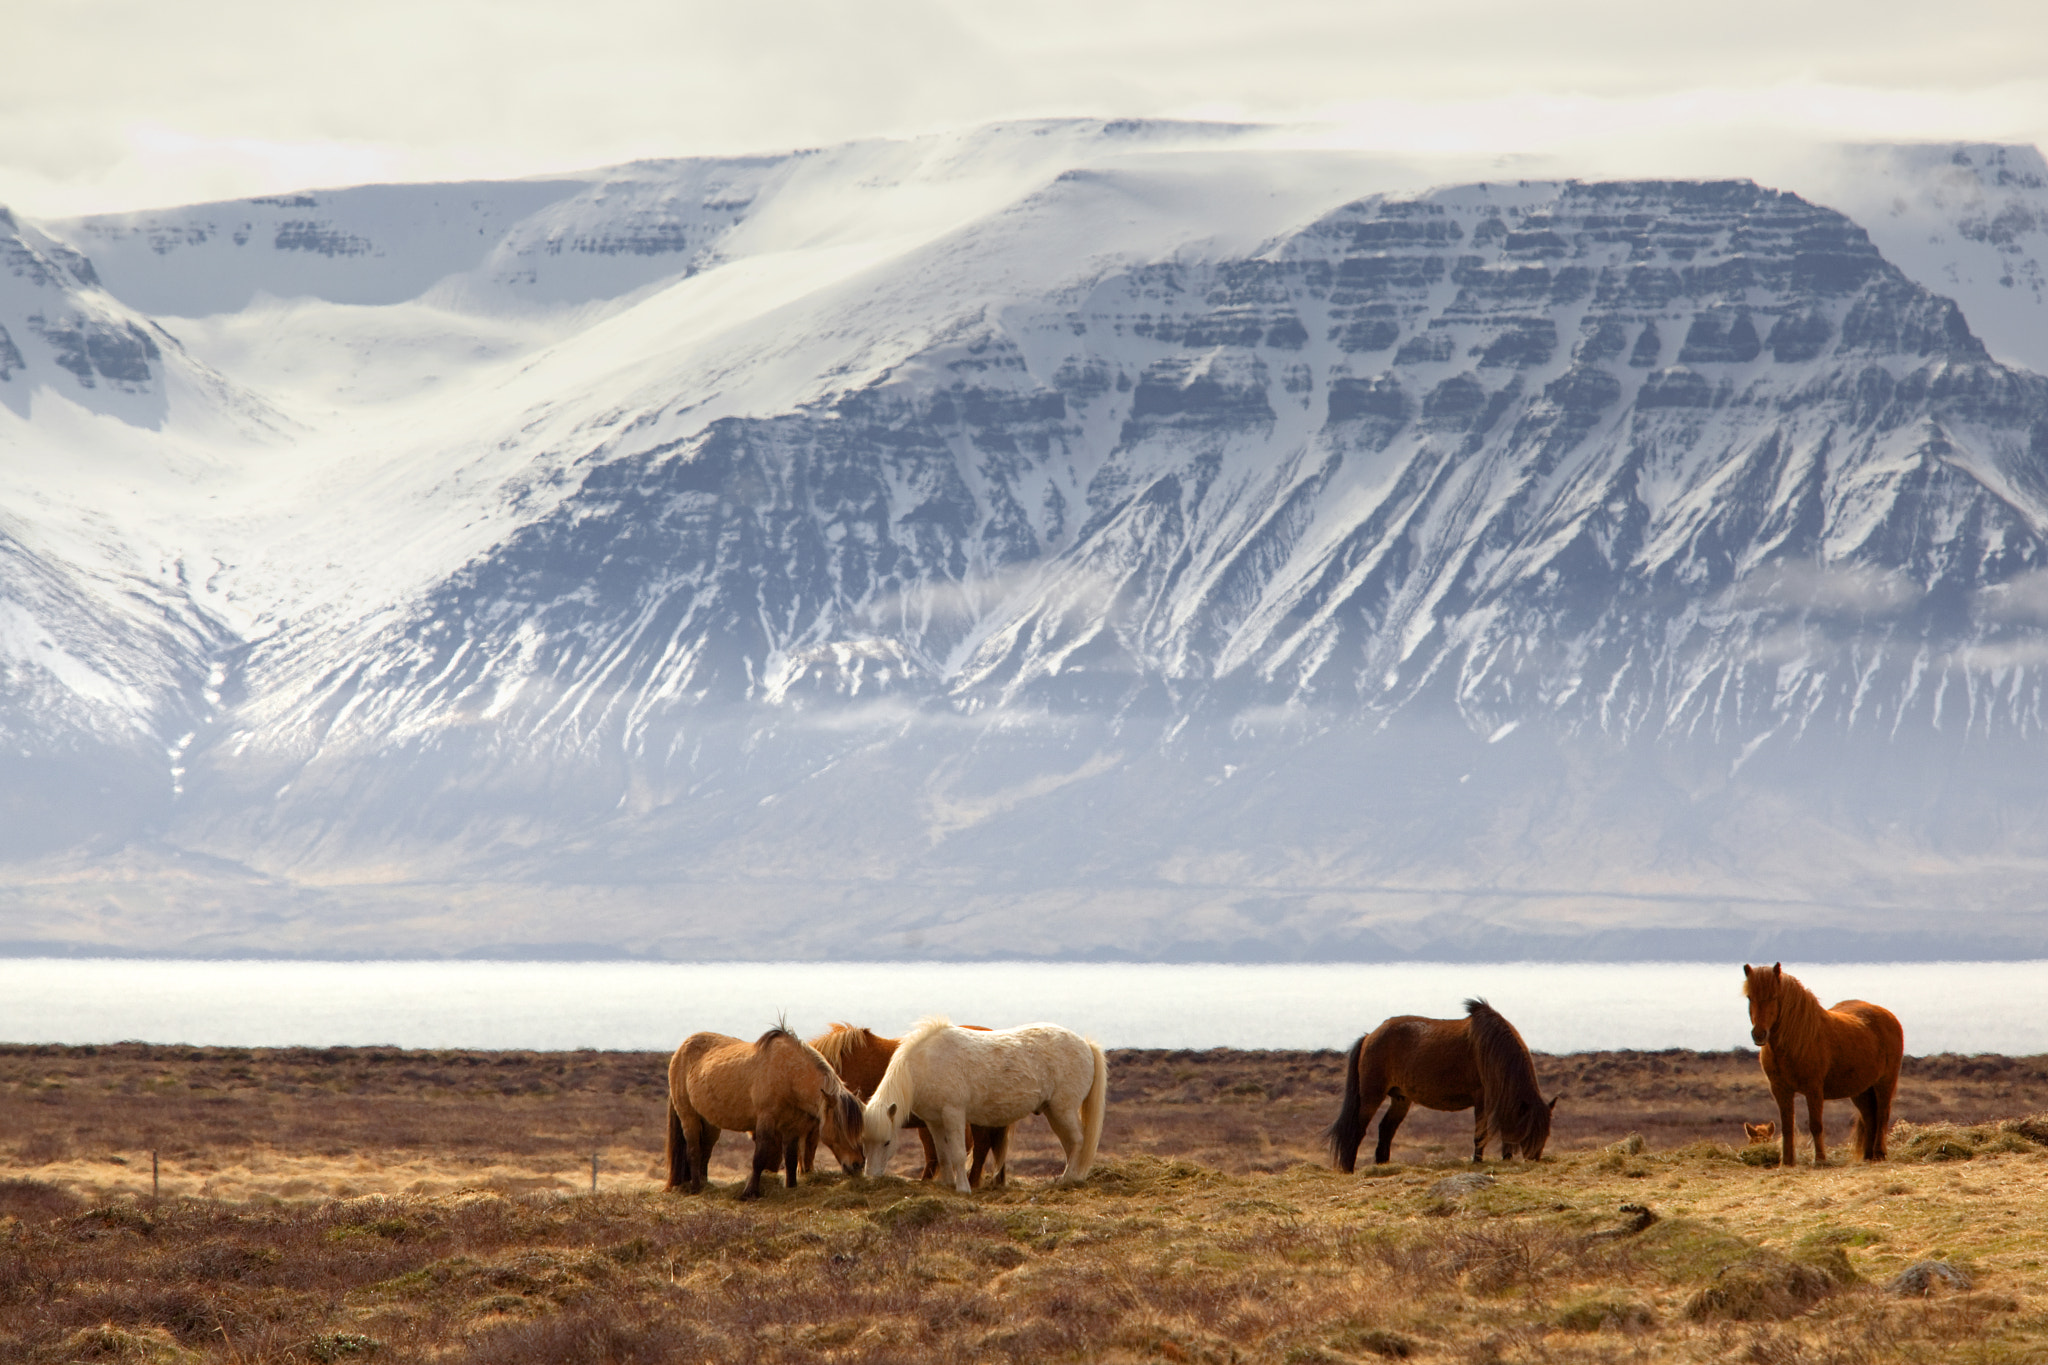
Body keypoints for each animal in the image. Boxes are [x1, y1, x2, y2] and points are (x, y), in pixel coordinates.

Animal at [667, 1019, 868, 1203]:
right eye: (841, 1127)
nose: (858, 1164)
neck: (789, 1074)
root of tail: (680, 1051)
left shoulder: (791, 1128)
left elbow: (791, 1159)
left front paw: (791, 1187)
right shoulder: (766, 1120)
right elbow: (759, 1157)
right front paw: (749, 1193)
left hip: (710, 1123)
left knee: (706, 1151)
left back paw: (705, 1184)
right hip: (688, 1116)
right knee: (693, 1149)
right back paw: (696, 1188)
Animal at [872, 1019, 1114, 1186]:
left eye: (887, 1142)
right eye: (866, 1139)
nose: (871, 1177)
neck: (926, 1061)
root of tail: (1086, 1045)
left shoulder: (954, 1114)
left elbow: (958, 1153)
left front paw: (963, 1189)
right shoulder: (934, 1121)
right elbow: (943, 1154)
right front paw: (948, 1184)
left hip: (1064, 1110)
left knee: (1078, 1141)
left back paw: (1067, 1179)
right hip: (1054, 1113)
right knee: (1070, 1143)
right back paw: (1070, 1177)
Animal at [1318, 998, 1556, 1170]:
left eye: (1546, 1133)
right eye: (1531, 1130)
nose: (1534, 1159)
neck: (1493, 1049)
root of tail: (1370, 1036)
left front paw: (1505, 1158)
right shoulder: (1482, 1099)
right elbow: (1480, 1133)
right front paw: (1478, 1161)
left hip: (1401, 1098)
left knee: (1386, 1128)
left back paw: (1382, 1164)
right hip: (1371, 1095)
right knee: (1357, 1129)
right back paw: (1349, 1168)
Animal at [1744, 957, 1900, 1170]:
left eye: (1774, 997)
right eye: (1749, 997)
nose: (1759, 1035)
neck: (1796, 1039)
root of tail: (1889, 1016)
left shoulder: (1814, 1090)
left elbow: (1815, 1125)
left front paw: (1820, 1160)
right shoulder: (1781, 1090)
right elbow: (1787, 1126)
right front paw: (1787, 1162)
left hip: (1884, 1082)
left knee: (1883, 1115)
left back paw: (1879, 1154)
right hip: (1861, 1090)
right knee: (1870, 1117)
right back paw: (1868, 1156)